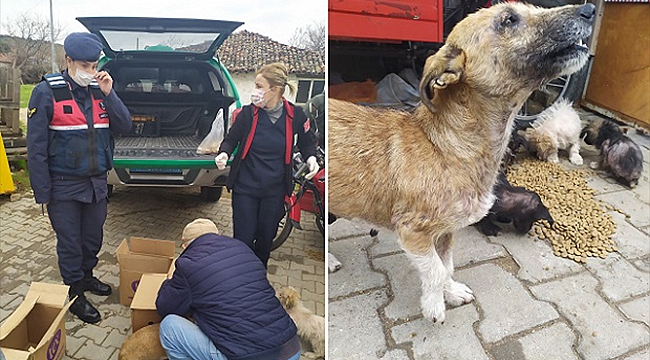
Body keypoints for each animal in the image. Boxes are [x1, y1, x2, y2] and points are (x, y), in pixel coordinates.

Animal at [330, 2, 592, 324]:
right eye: (508, 19)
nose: (590, 9)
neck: (446, 147)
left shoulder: (444, 231)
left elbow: (447, 267)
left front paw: (452, 292)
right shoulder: (413, 233)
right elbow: (435, 270)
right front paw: (434, 306)